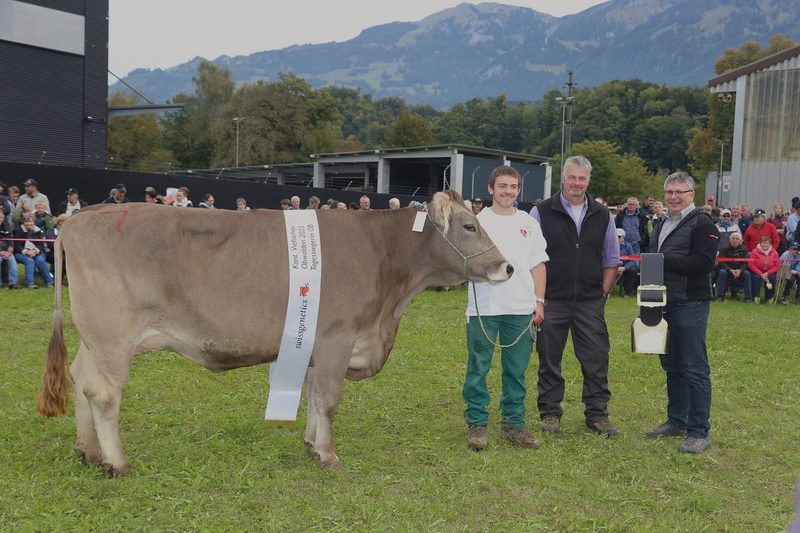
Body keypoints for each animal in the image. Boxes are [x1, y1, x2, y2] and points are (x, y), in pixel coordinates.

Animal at [37, 190, 513, 475]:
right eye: (469, 226)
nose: (507, 267)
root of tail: (82, 216)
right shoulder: (339, 337)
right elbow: (330, 399)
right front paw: (330, 456)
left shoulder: (316, 345)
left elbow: (314, 395)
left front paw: (311, 444)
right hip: (113, 335)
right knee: (103, 392)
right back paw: (116, 462)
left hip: (94, 336)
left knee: (80, 379)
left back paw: (88, 451)